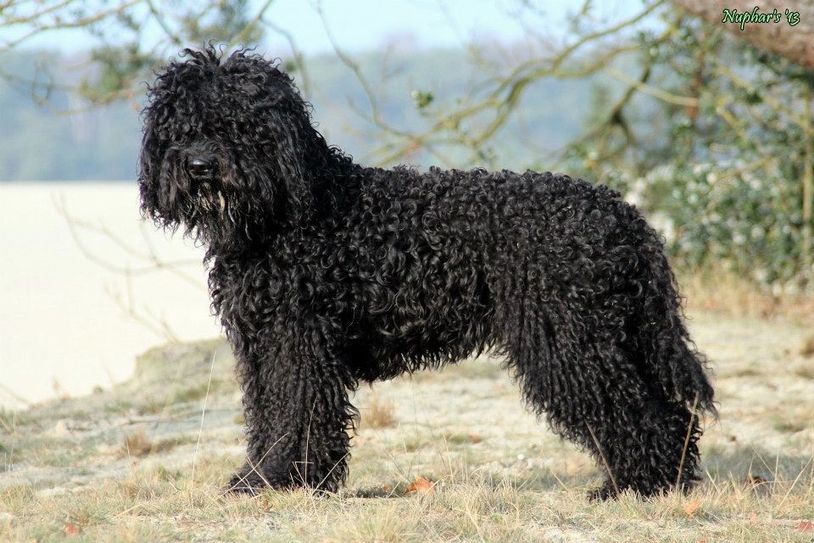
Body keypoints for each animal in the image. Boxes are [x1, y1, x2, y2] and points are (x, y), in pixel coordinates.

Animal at [139, 47, 712, 502]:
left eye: (241, 124)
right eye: (182, 127)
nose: (200, 166)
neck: (293, 211)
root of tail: (627, 216)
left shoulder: (296, 343)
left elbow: (295, 415)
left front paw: (282, 480)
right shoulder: (262, 343)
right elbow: (268, 416)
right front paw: (259, 477)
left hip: (571, 341)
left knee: (641, 414)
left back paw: (637, 487)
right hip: (612, 335)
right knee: (670, 414)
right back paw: (657, 481)